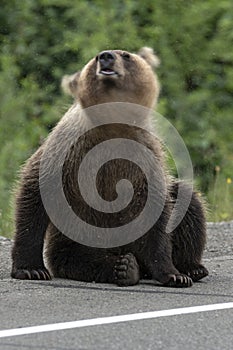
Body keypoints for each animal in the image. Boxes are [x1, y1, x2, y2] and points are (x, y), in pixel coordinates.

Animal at [10, 47, 208, 288]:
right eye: (96, 57)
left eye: (126, 55)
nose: (106, 56)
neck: (114, 125)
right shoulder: (67, 150)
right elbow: (34, 193)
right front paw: (31, 269)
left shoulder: (145, 159)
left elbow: (158, 214)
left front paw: (174, 275)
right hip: (78, 235)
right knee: (78, 258)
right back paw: (124, 267)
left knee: (188, 203)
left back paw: (191, 268)